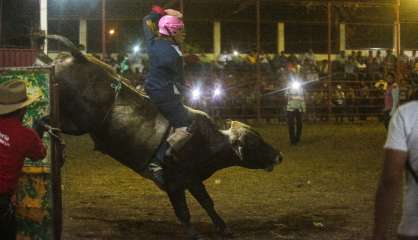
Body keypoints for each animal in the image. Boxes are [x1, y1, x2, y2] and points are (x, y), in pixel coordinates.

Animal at [42, 34, 282, 239]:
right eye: (255, 143)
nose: (278, 156)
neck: (210, 142)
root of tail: (80, 57)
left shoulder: (193, 179)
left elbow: (207, 202)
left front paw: (224, 228)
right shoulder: (174, 182)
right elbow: (184, 212)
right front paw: (194, 234)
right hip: (78, 122)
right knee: (51, 121)